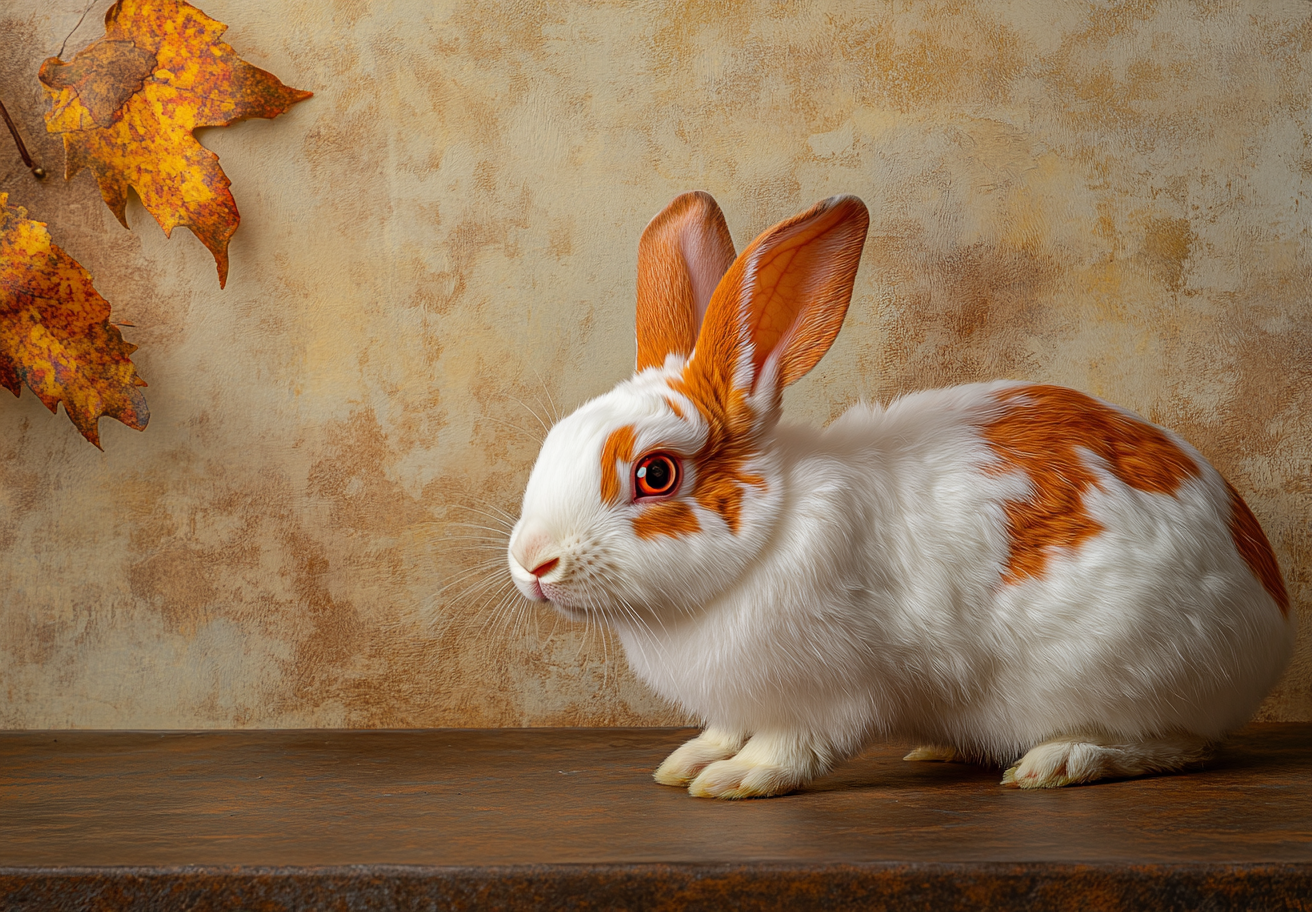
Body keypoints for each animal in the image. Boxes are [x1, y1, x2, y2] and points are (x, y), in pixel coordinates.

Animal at [506, 190, 1296, 797]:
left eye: (655, 475)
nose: (533, 563)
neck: (764, 537)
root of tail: (1272, 616)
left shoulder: (825, 693)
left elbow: (790, 746)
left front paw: (737, 778)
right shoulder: (738, 699)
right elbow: (724, 728)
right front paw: (687, 761)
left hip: (1120, 673)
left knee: (1184, 746)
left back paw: (1059, 761)